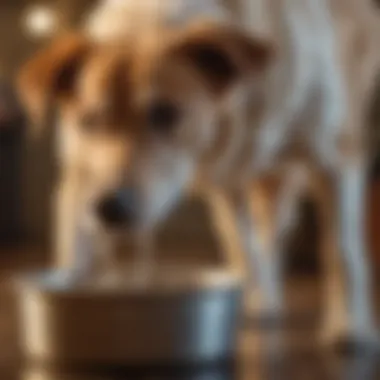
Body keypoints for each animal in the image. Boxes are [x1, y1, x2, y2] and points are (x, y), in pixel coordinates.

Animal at [17, 0, 380, 350]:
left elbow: (343, 251)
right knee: (249, 240)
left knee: (274, 234)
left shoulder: (337, 157)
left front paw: (350, 326)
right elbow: (73, 250)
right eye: (88, 120)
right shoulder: (80, 177)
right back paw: (261, 297)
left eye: (165, 113)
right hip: (231, 182)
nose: (111, 209)